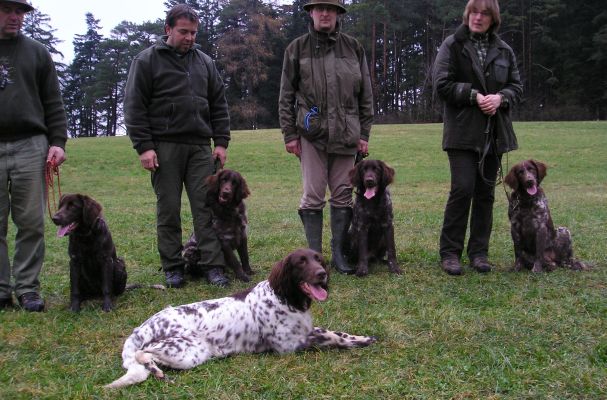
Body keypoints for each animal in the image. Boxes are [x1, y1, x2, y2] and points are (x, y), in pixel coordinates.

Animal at [107, 248, 378, 390]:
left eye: (318, 259)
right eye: (301, 262)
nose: (322, 274)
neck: (285, 298)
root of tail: (146, 325)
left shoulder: (304, 332)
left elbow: (337, 332)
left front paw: (363, 338)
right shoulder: (289, 346)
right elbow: (331, 337)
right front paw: (355, 342)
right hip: (188, 350)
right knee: (143, 353)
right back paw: (157, 371)